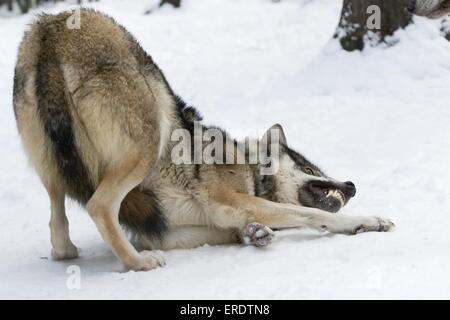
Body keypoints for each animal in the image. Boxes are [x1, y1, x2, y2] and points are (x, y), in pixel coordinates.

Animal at [13, 8, 394, 272]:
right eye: (311, 168)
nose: (351, 184)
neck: (249, 169)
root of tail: (51, 26)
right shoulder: (229, 201)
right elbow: (310, 214)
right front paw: (369, 220)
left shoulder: (167, 230)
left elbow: (239, 230)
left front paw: (255, 233)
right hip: (150, 136)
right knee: (97, 206)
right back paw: (140, 264)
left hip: (51, 168)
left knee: (57, 222)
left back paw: (70, 252)